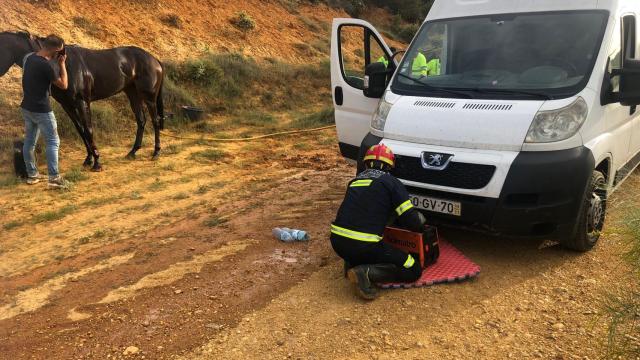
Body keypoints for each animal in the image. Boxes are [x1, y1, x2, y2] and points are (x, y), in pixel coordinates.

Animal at [1, 31, 165, 171]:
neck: (62, 65)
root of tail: (154, 60)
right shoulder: (67, 105)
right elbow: (80, 130)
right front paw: (88, 159)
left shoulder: (82, 102)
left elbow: (88, 129)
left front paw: (97, 162)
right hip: (133, 94)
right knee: (141, 121)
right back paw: (132, 152)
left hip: (149, 98)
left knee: (155, 120)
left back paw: (156, 152)